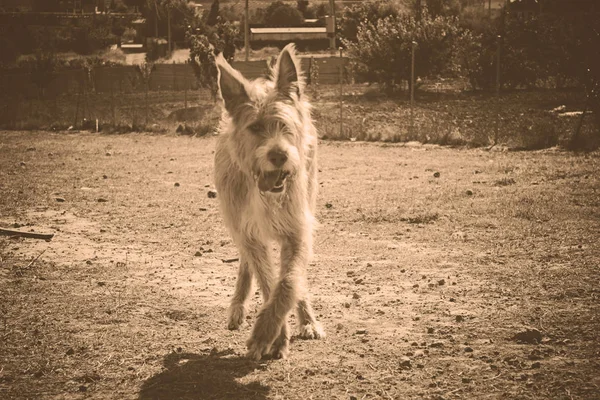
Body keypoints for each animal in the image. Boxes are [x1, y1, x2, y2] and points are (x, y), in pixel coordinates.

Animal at [214, 43, 324, 360]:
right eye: (254, 127)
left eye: (285, 125)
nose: (279, 155)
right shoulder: (249, 232)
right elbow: (267, 279)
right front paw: (275, 337)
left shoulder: (297, 229)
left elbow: (288, 282)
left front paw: (269, 331)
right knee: (245, 262)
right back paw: (237, 307)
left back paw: (307, 319)